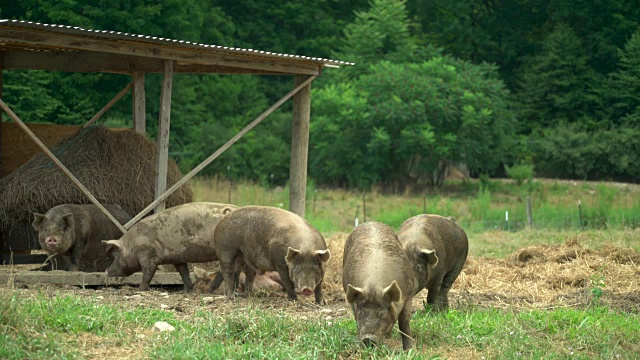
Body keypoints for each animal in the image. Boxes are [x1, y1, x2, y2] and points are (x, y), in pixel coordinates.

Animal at [102, 201, 238, 292]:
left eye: (116, 255)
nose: (107, 271)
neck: (132, 244)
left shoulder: (149, 256)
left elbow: (147, 274)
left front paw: (140, 289)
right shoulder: (178, 259)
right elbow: (183, 272)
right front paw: (186, 290)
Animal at [342, 221, 418, 350]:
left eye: (381, 312)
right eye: (362, 312)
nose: (368, 338)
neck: (374, 285)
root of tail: (370, 222)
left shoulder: (408, 294)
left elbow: (404, 321)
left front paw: (409, 350)